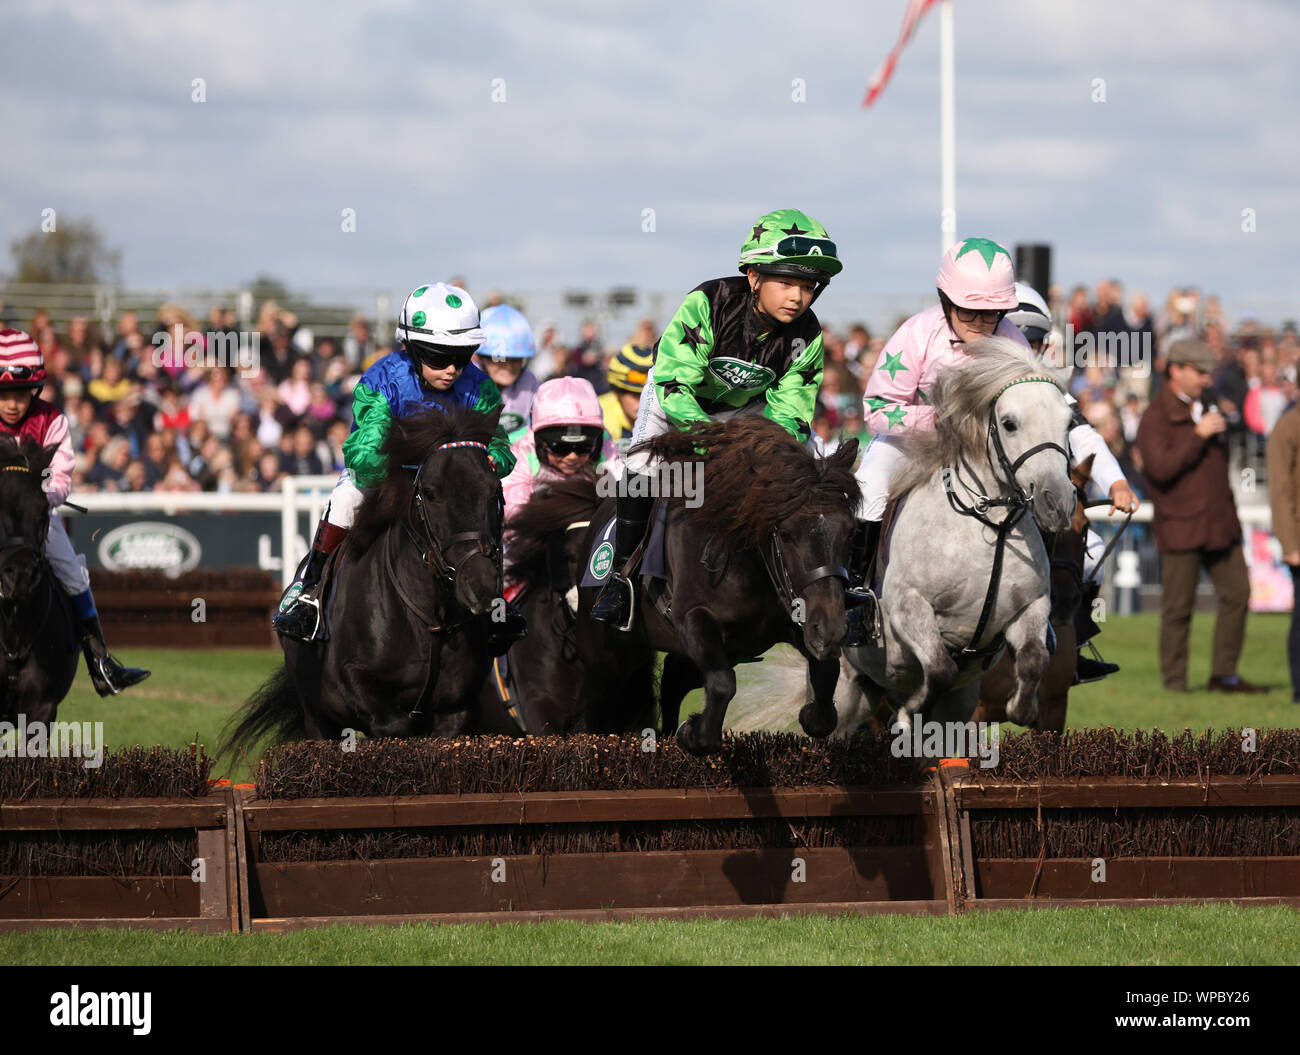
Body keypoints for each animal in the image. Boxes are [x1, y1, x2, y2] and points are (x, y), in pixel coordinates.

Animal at [220, 400, 504, 753]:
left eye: (493, 489)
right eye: (430, 492)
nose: (478, 584)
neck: (430, 618)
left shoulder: (456, 708)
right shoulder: (353, 684)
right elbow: (394, 724)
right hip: (316, 717)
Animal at [574, 415, 857, 753]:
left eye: (851, 532)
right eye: (787, 534)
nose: (830, 632)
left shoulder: (794, 619)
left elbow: (826, 682)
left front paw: (809, 711)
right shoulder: (692, 618)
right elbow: (722, 684)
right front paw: (693, 732)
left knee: (673, 679)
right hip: (604, 654)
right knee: (598, 703)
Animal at [837, 337, 1071, 732]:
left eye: (1068, 422)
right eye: (1009, 423)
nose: (1059, 502)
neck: (991, 524)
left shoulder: (1031, 607)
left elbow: (1034, 660)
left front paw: (1021, 707)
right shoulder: (908, 604)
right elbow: (940, 667)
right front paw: (906, 716)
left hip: (953, 704)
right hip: (845, 688)